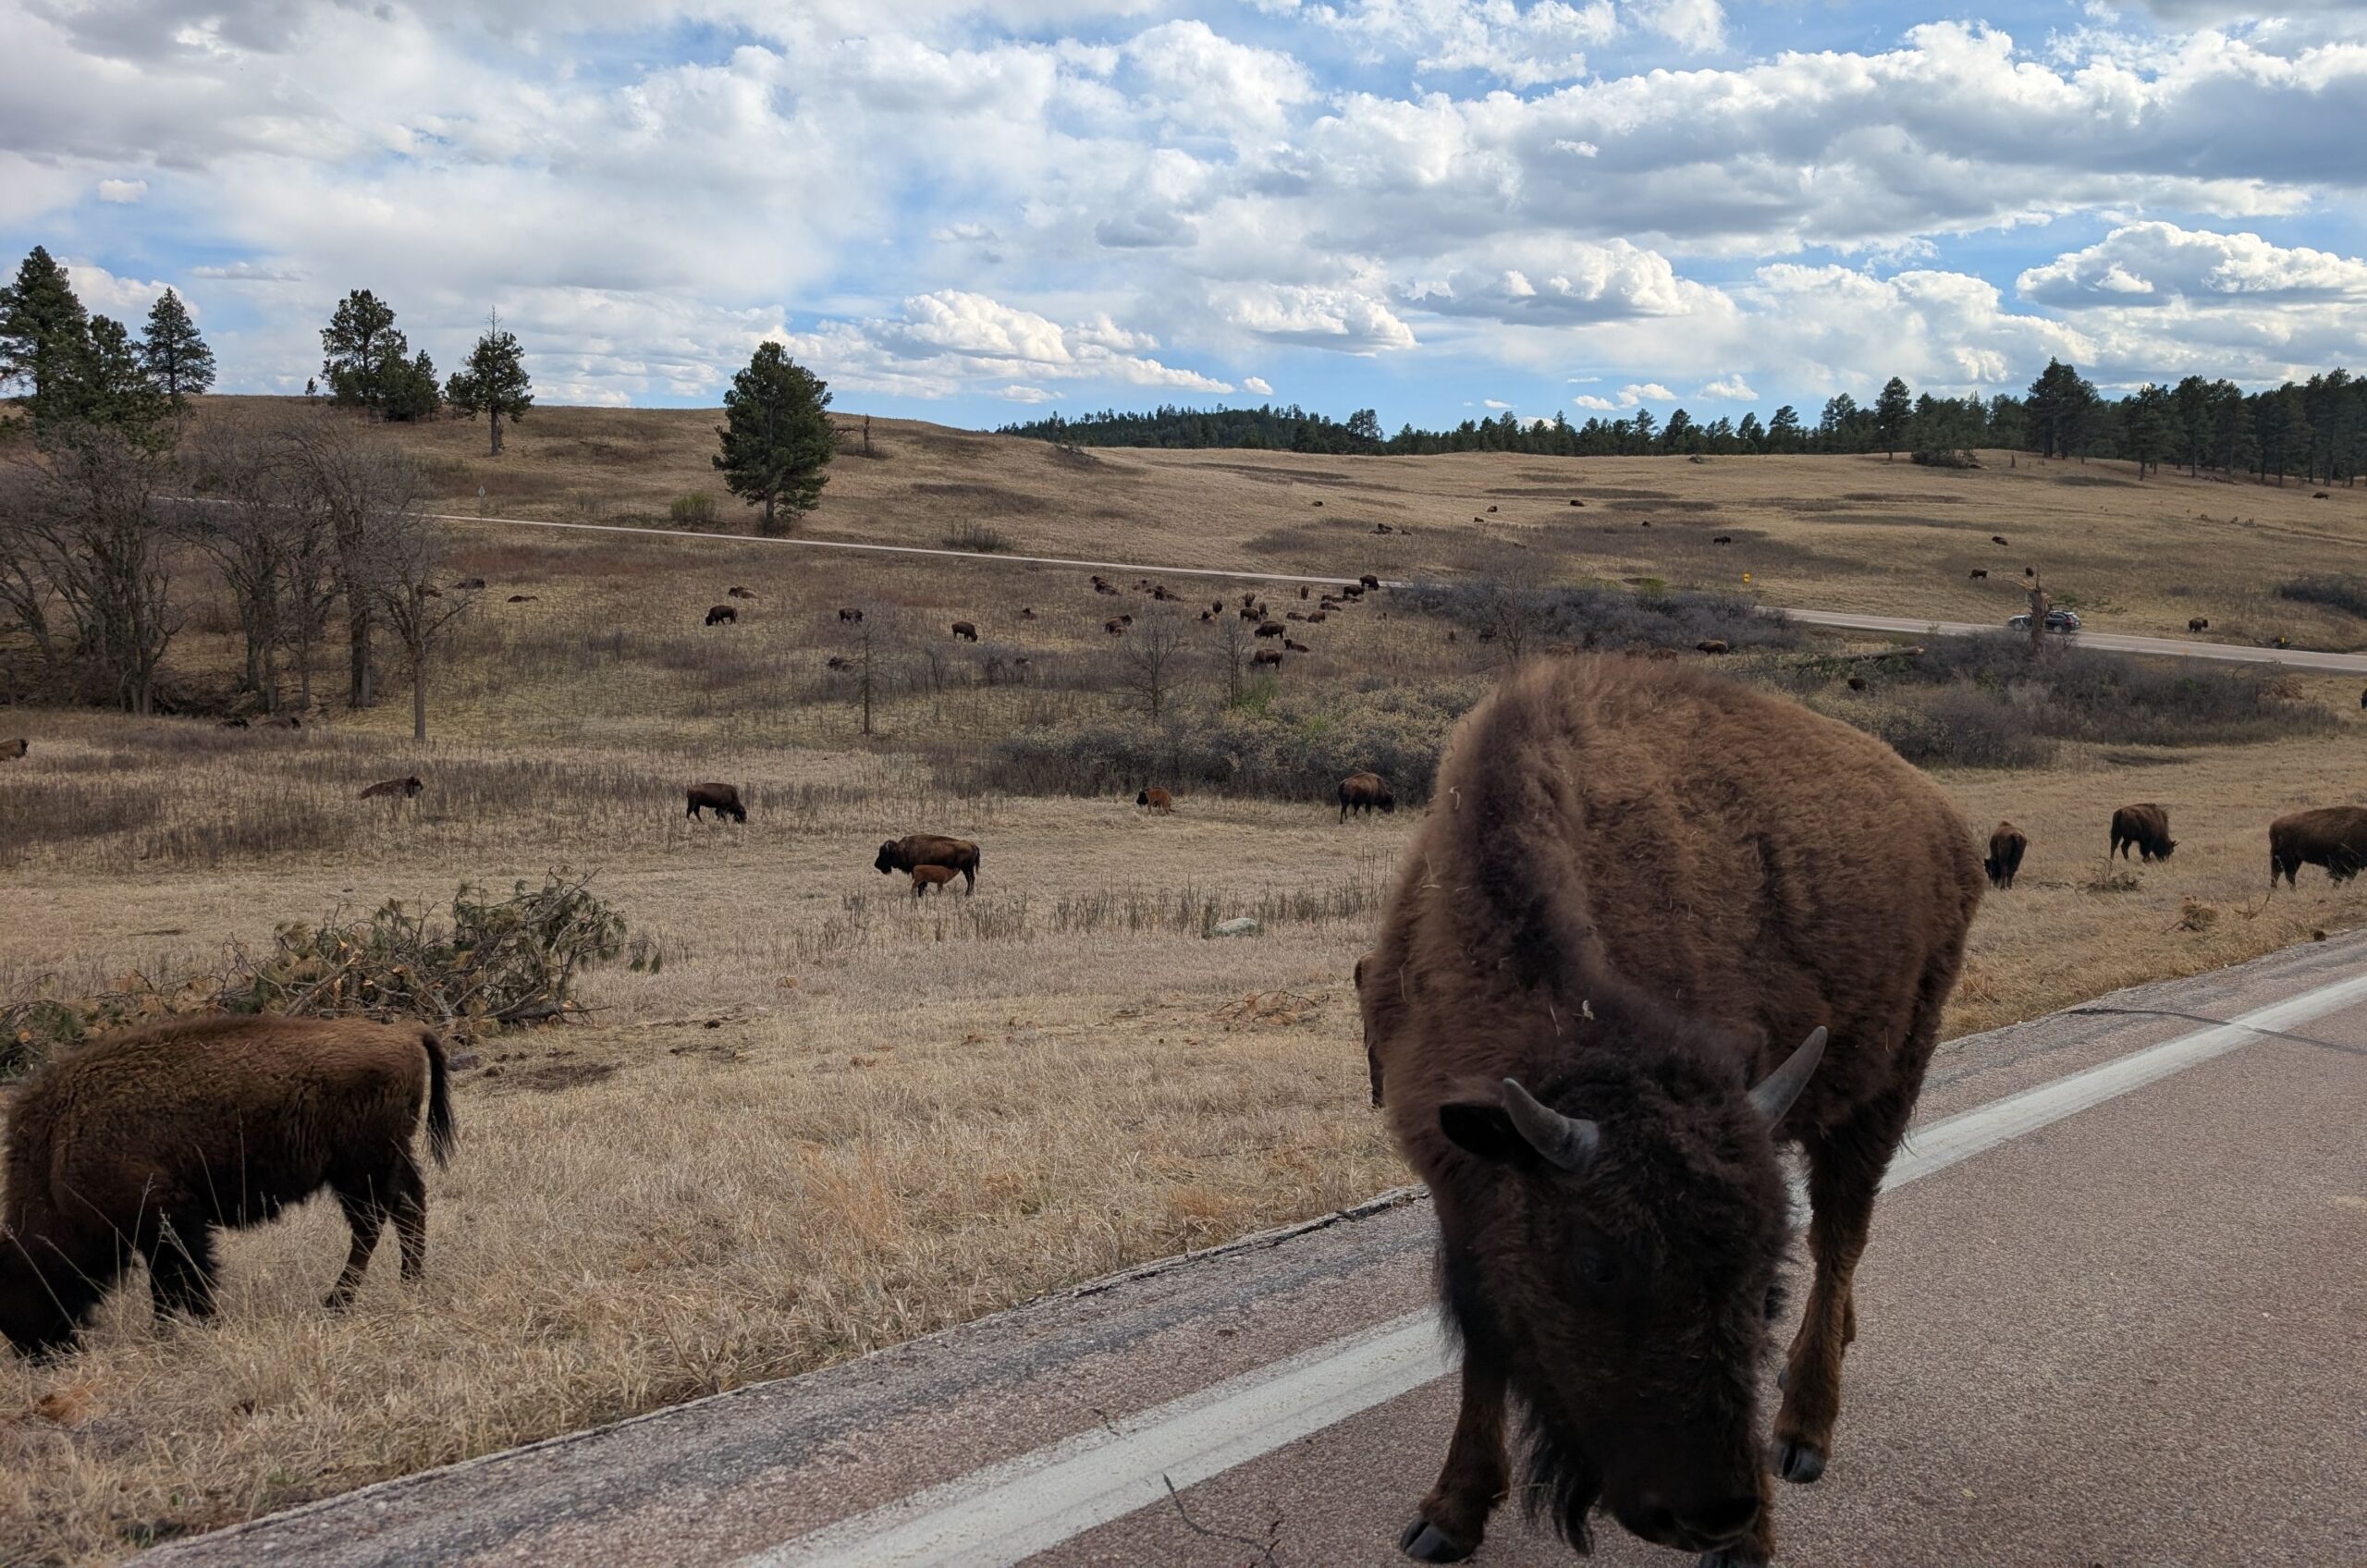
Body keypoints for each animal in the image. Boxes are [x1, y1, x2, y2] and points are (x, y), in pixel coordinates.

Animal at [3, 1015, 453, 1355]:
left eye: (23, 1276)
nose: (37, 1352)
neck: (58, 1147)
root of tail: (405, 1033)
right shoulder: (161, 1231)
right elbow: (170, 1286)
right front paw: (172, 1331)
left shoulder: (169, 1223)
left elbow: (184, 1281)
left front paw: (192, 1328)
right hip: (386, 1160)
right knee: (407, 1208)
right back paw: (407, 1282)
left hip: (360, 1171)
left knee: (372, 1224)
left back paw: (338, 1301)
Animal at [1359, 658, 1982, 1566]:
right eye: (1597, 1263)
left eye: (1760, 1270)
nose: (1716, 1512)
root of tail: (1950, 828)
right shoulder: (1456, 1185)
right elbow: (1481, 1340)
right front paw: (1448, 1515)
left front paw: (1753, 1542)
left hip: (1887, 1086)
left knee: (1841, 1238)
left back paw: (1803, 1430)